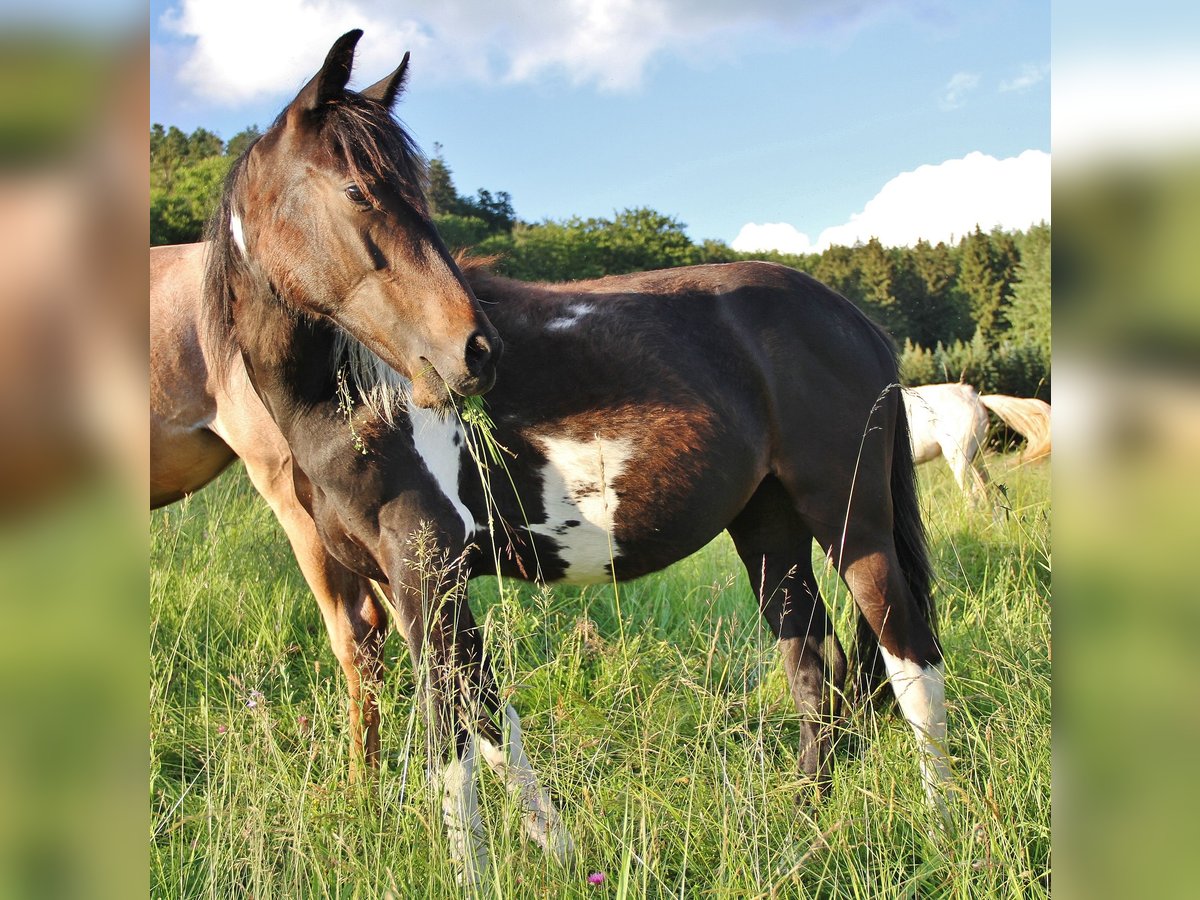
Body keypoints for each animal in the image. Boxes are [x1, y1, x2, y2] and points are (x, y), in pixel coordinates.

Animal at [152, 30, 945, 888]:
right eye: (357, 190)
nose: (473, 353)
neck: (360, 400)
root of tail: (854, 322)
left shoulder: (426, 569)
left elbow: (453, 740)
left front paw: (472, 876)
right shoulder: (408, 585)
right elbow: (490, 719)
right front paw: (559, 854)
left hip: (853, 522)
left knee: (911, 661)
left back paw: (944, 823)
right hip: (770, 533)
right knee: (816, 676)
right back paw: (801, 834)